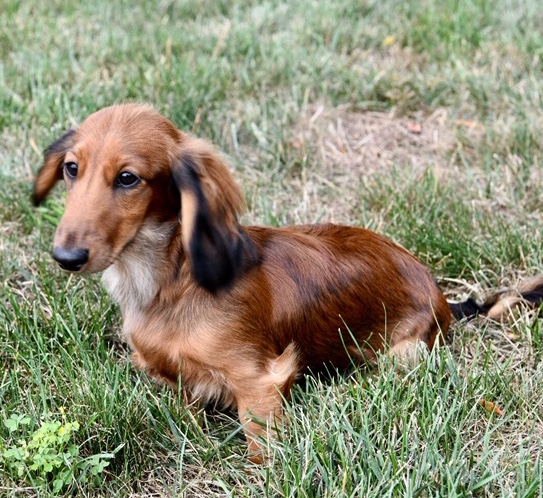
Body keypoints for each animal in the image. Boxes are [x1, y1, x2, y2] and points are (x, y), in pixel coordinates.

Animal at [33, 103, 543, 462]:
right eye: (72, 168)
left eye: (127, 178)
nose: (66, 257)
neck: (169, 281)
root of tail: (440, 296)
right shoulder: (175, 377)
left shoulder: (259, 380)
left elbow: (261, 446)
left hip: (406, 352)